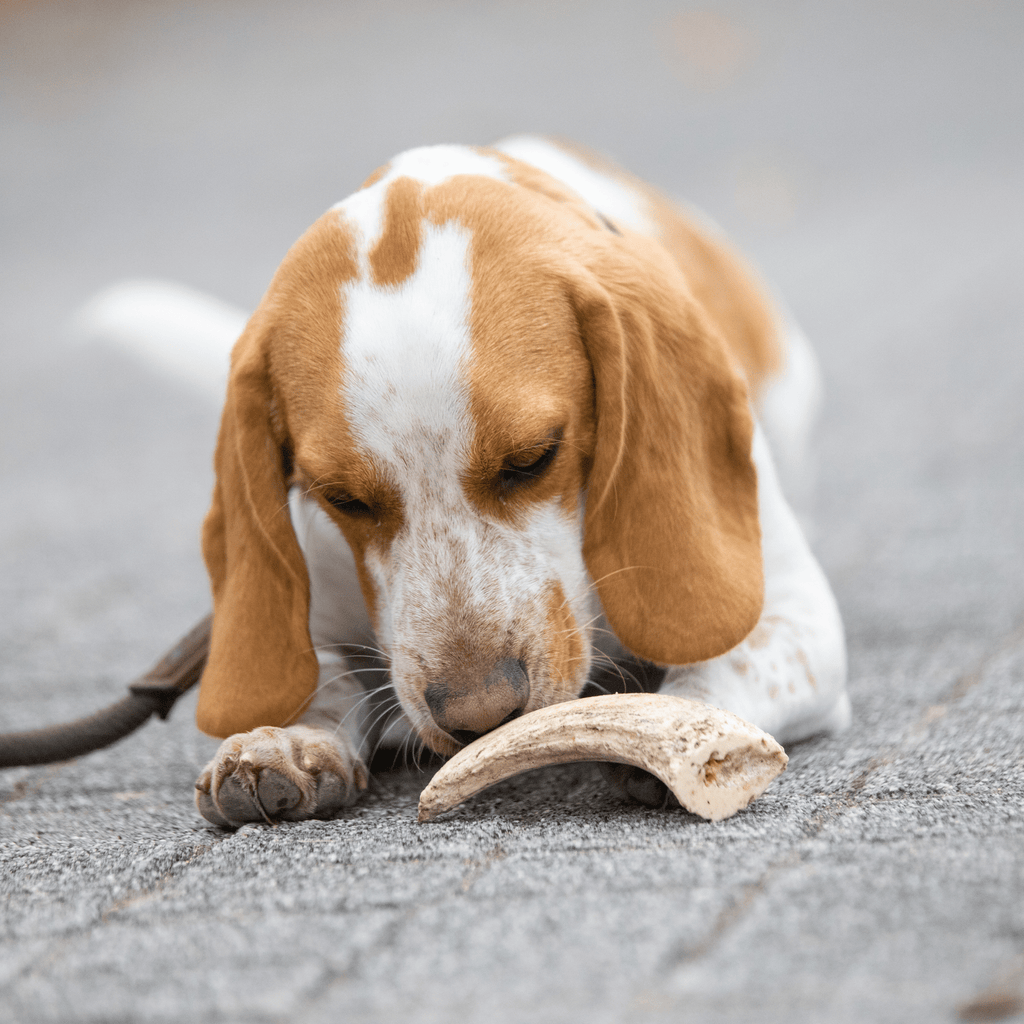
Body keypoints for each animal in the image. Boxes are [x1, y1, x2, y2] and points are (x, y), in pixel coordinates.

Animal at [90, 138, 847, 823]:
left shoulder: (797, 616)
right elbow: (323, 679)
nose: (482, 716)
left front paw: (682, 731)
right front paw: (287, 738)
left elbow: (714, 671)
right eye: (340, 498)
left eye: (534, 457)